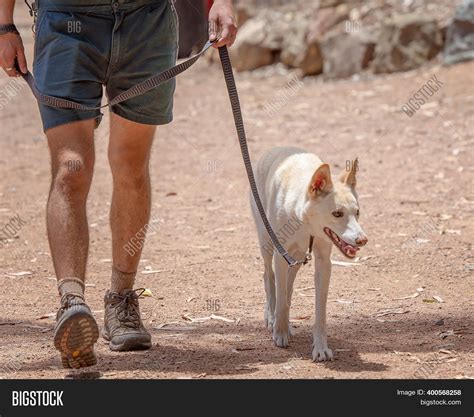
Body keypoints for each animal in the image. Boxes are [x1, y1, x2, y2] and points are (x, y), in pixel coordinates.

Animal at [250, 147, 368, 360]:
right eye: (337, 213)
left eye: (357, 212)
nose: (363, 240)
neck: (306, 223)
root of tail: (277, 148)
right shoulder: (280, 255)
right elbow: (280, 299)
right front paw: (280, 333)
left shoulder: (323, 263)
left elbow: (320, 312)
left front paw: (320, 348)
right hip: (267, 242)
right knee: (268, 277)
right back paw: (272, 317)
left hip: (297, 256)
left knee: (287, 285)